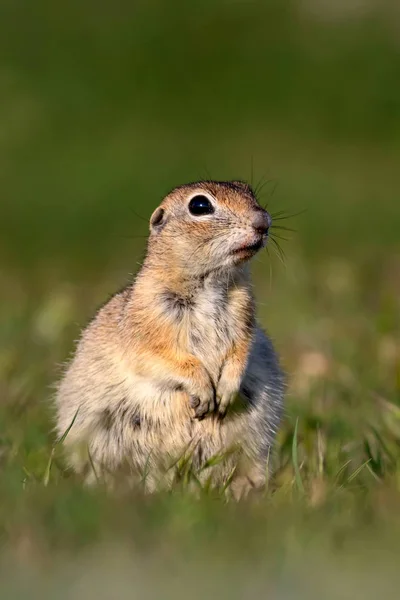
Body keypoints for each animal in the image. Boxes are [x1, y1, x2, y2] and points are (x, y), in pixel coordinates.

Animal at [55, 179, 284, 496]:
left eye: (249, 191)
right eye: (199, 205)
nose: (263, 221)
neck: (211, 282)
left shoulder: (245, 318)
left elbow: (241, 351)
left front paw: (226, 391)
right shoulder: (147, 325)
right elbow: (162, 359)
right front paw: (203, 390)